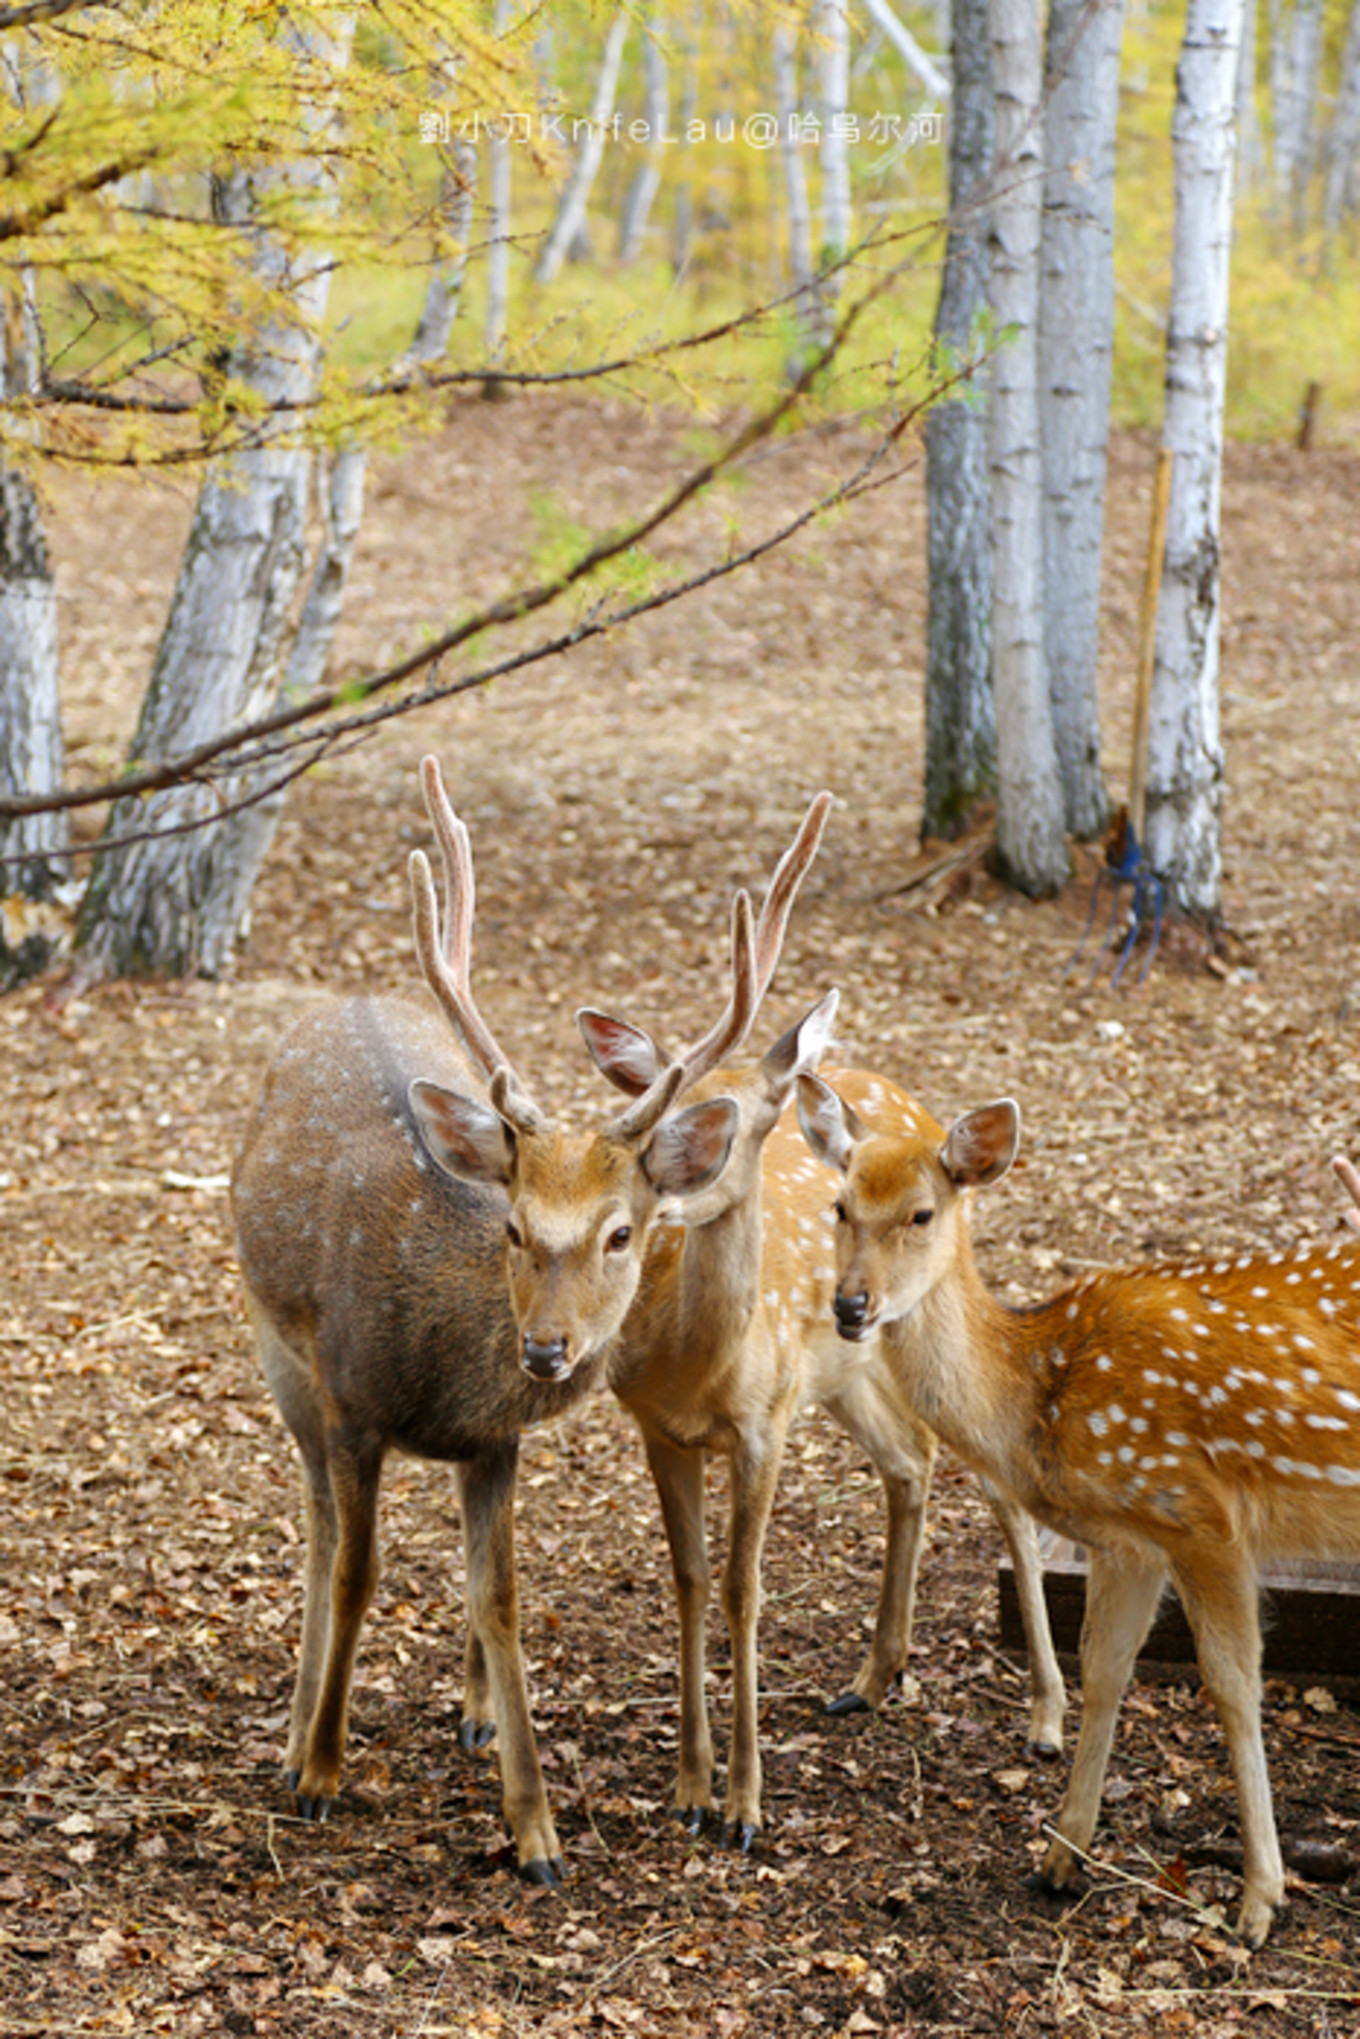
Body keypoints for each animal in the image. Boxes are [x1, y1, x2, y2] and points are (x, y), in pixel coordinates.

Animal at [230, 762, 754, 1875]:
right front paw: (322, 1770)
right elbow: (357, 1571)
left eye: (623, 1231)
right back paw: (295, 1732)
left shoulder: (496, 1442)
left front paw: (536, 1826)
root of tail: (343, 997)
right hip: (275, 1350)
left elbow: (502, 1596)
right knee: (317, 1525)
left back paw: (468, 1712)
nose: (547, 1348)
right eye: (514, 1226)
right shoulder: (349, 1404)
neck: (439, 1369)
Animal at [791, 1068, 1360, 1941]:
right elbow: (1103, 1667)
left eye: (921, 1212)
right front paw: (1061, 1857)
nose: (851, 1305)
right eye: (840, 1204)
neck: (1042, 1394)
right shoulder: (1129, 1538)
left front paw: (1260, 1899)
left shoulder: (1203, 1518)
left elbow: (1234, 1685)